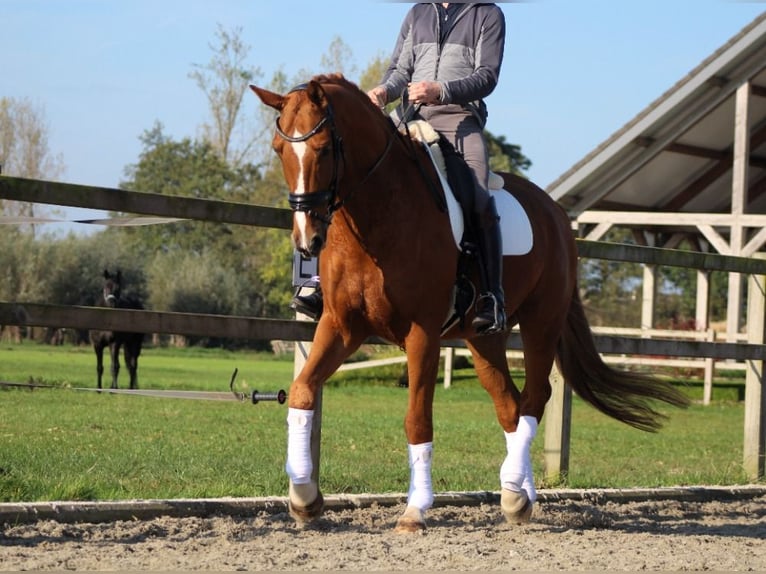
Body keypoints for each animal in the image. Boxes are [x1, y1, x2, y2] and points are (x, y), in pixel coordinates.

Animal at [252, 74, 688, 532]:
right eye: (279, 149)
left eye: (321, 149)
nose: (307, 240)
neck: (381, 213)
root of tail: (555, 212)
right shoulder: (342, 325)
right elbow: (302, 391)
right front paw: (304, 497)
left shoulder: (422, 333)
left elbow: (417, 418)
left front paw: (415, 509)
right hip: (483, 338)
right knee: (509, 405)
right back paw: (518, 496)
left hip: (542, 322)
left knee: (534, 397)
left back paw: (514, 489)